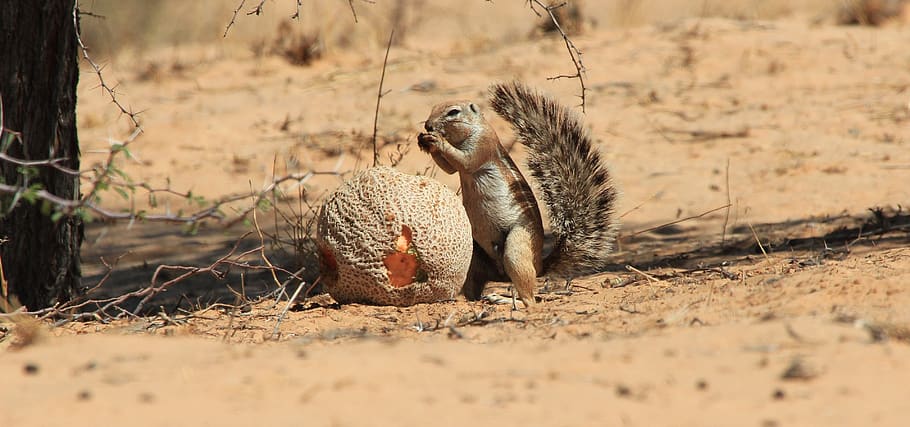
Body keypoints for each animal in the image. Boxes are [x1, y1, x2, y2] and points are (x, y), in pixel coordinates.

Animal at [417, 81, 618, 307]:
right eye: (433, 107)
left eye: (453, 112)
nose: (428, 126)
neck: (474, 128)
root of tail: (540, 266)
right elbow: (450, 169)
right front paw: (424, 141)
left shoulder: (482, 145)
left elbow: (465, 161)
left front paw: (436, 140)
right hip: (474, 257)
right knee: (475, 288)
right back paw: (468, 300)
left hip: (516, 248)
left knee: (530, 299)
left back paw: (503, 299)